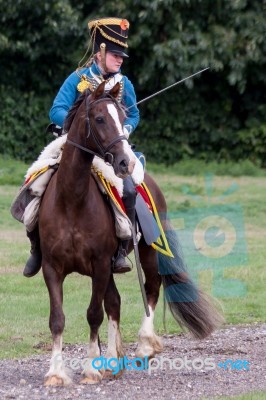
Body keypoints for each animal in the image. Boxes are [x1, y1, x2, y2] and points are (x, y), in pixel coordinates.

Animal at [39, 80, 222, 384]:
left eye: (123, 117)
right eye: (99, 118)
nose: (126, 162)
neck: (72, 200)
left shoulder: (100, 264)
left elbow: (93, 314)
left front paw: (91, 368)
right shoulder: (52, 267)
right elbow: (58, 318)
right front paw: (55, 373)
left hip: (147, 253)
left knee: (151, 287)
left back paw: (145, 345)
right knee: (114, 302)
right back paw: (114, 360)